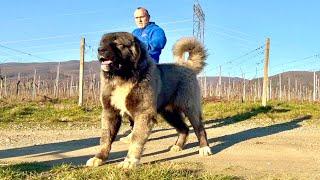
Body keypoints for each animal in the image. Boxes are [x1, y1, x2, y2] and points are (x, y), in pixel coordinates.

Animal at [86, 31, 212, 168]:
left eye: (118, 44)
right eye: (102, 43)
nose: (100, 50)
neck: (124, 78)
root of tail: (186, 65)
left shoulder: (143, 113)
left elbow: (136, 138)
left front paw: (130, 160)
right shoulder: (110, 113)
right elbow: (105, 138)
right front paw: (99, 157)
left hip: (190, 108)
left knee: (199, 128)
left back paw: (204, 148)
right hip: (169, 113)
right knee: (184, 128)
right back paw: (177, 146)